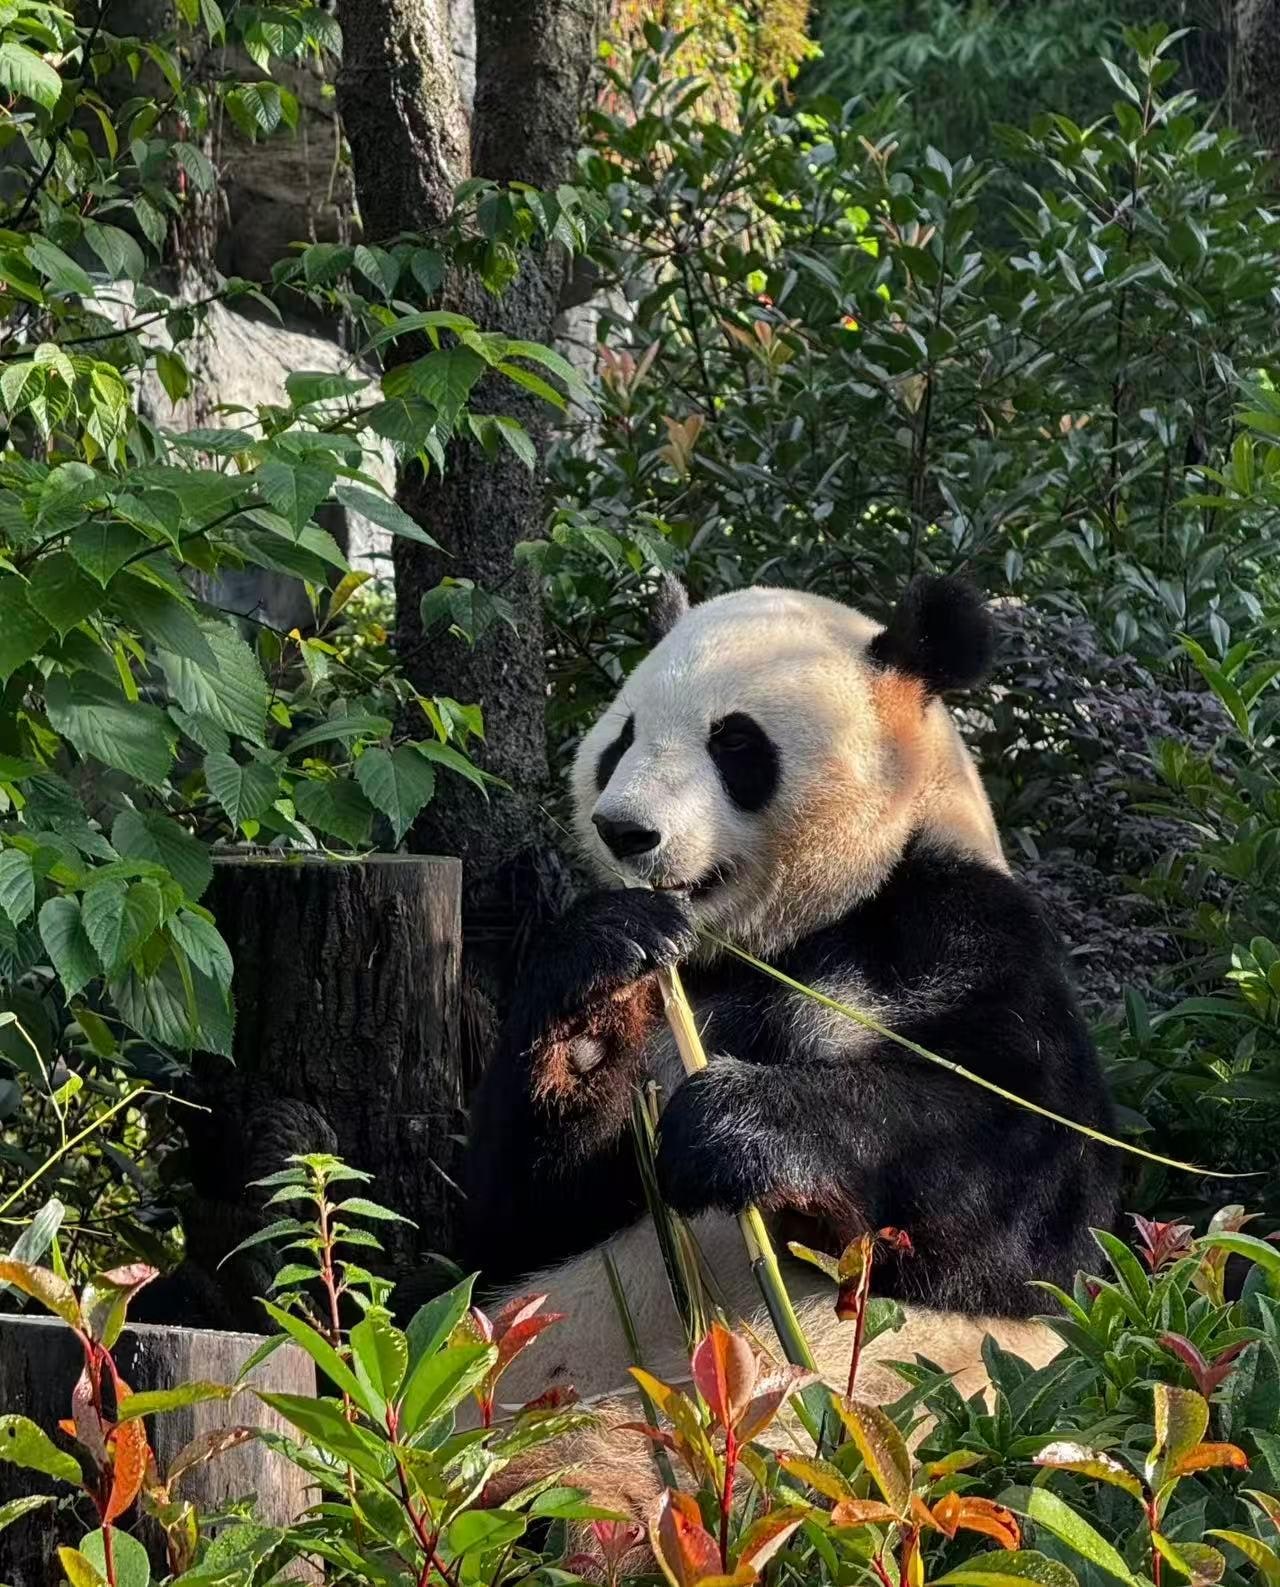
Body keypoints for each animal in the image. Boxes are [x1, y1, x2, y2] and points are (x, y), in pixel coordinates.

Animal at [461, 575, 1119, 1492]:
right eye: (621, 738)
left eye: (735, 742)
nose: (624, 829)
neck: (776, 939)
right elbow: (512, 1225)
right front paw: (597, 984)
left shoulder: (959, 930)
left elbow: (1032, 1187)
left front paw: (734, 1126)